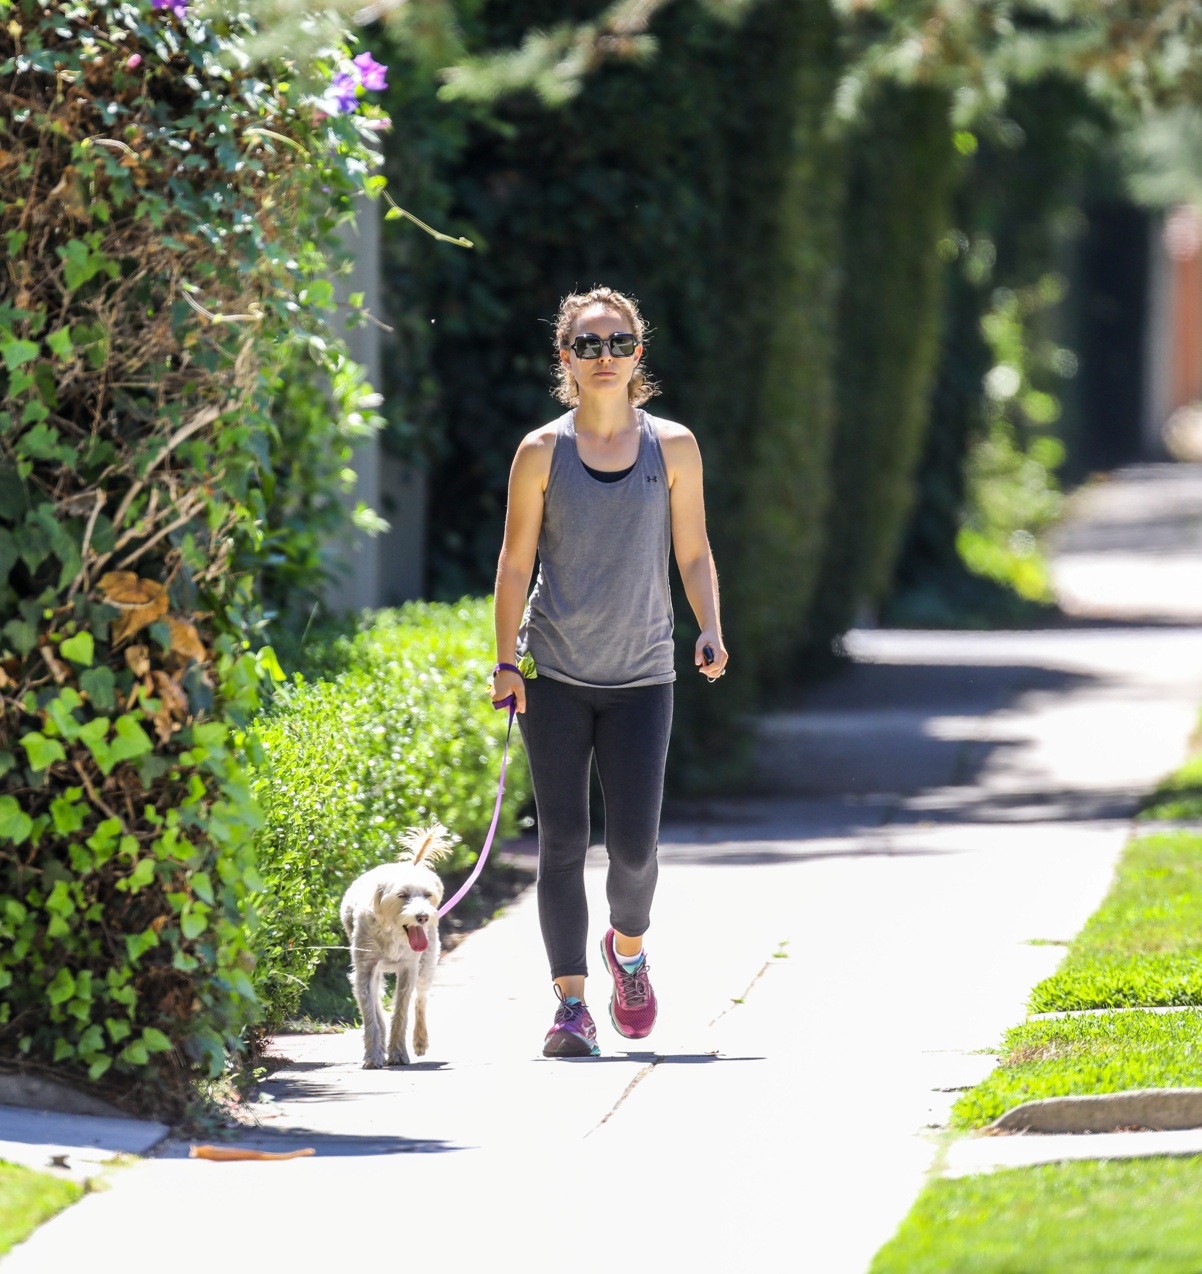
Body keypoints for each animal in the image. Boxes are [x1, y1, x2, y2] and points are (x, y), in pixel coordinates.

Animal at [339, 825, 451, 1065]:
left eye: (427, 895)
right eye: (402, 895)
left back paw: (420, 1040)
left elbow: (401, 1010)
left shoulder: (409, 968)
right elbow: (370, 1012)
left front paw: (398, 1053)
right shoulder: (364, 969)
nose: (422, 916)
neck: (392, 932)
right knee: (377, 999)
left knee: (421, 999)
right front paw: (373, 1054)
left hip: (427, 963)